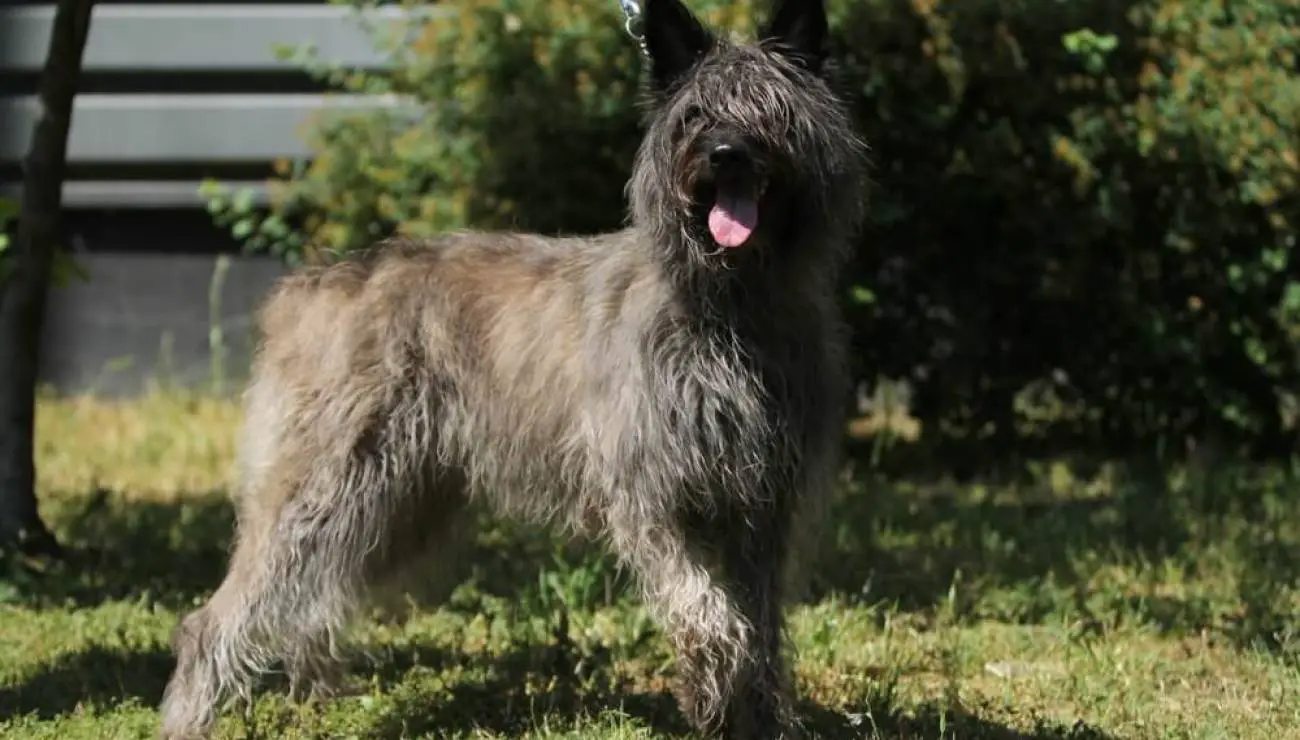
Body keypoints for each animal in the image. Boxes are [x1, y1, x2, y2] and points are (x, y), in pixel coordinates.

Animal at [162, 1, 868, 733]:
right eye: (695, 114)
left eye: (768, 106)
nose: (726, 153)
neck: (728, 306)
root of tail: (316, 283)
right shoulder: (655, 502)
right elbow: (710, 614)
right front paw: (713, 692)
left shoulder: (763, 511)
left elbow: (761, 627)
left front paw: (757, 715)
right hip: (323, 487)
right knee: (216, 617)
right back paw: (190, 715)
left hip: (396, 506)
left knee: (313, 598)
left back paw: (318, 690)